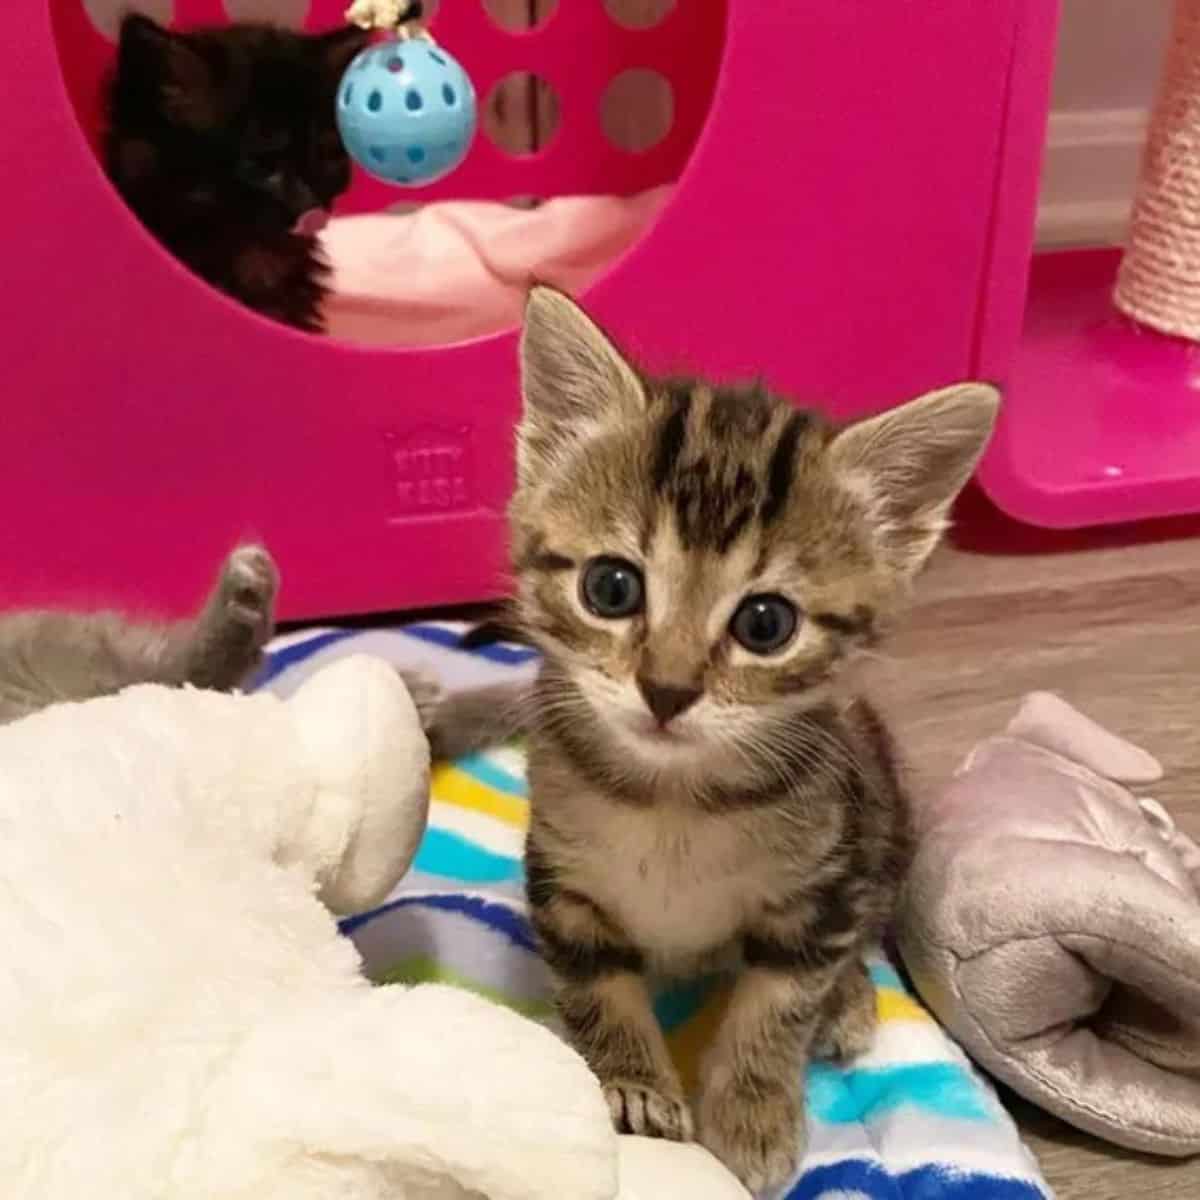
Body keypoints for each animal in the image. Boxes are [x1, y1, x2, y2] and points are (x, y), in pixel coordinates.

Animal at [511, 283, 998, 1190]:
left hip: (878, 821)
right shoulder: (562, 882)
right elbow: (596, 991)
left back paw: (849, 1000)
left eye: (765, 624)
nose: (666, 690)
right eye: (610, 587)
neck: (672, 800)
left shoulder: (821, 883)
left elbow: (779, 1002)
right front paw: (634, 1090)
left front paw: (751, 1114)